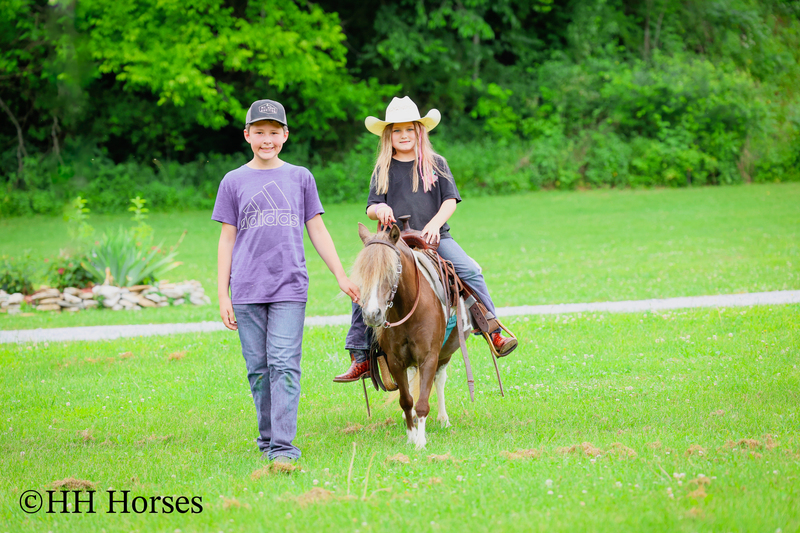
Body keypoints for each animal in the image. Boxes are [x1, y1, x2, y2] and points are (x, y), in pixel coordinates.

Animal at [351, 222, 470, 449]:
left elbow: (423, 401)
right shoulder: (395, 361)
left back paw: (443, 419)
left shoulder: (429, 357)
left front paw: (421, 442)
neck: (408, 309)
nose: (372, 314)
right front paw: (411, 436)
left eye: (391, 271)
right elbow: (406, 400)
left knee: (439, 380)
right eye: (362, 273)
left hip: (445, 353)